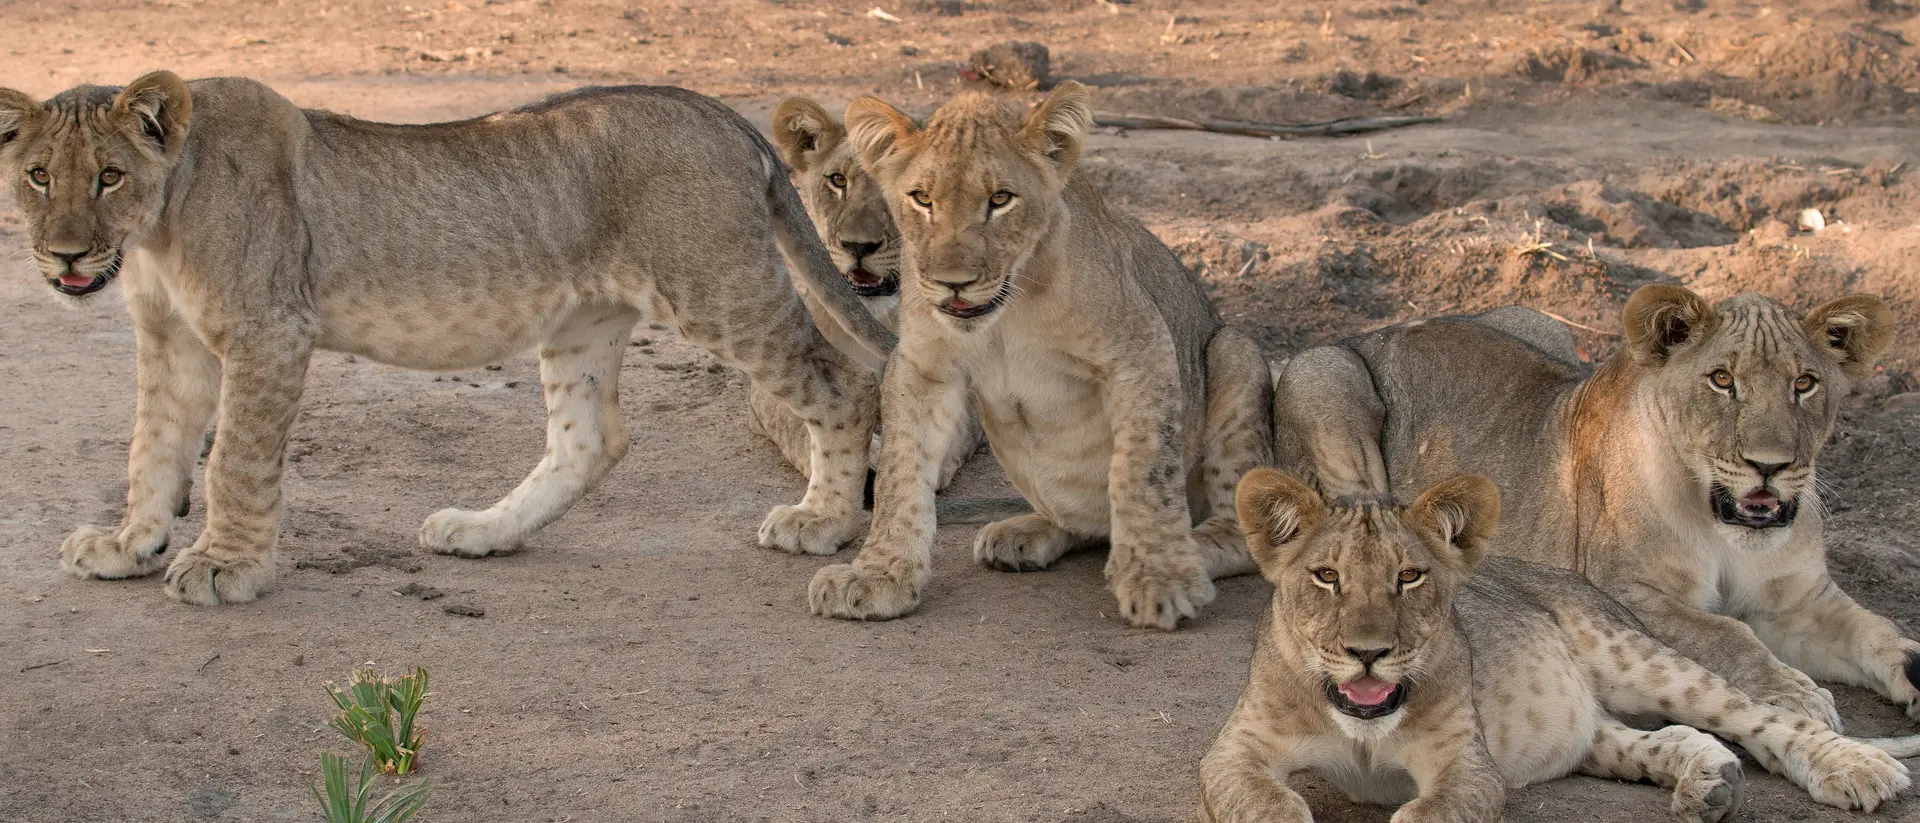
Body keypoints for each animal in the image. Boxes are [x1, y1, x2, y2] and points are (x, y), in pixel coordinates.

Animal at [0, 73, 896, 605]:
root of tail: (721, 115)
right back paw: (483, 531)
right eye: (39, 175)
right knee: (591, 441)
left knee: (842, 380)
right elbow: (150, 449)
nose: (66, 255)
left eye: (108, 176)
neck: (155, 227)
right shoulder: (170, 340)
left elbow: (232, 462)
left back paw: (823, 521)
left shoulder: (270, 331)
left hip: (719, 288)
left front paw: (227, 566)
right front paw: (128, 544)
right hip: (584, 321)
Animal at [804, 82, 1276, 629]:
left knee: (1241, 536)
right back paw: (1024, 534)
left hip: (1235, 352)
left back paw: (1189, 552)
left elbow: (1143, 467)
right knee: (1083, 524)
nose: (952, 283)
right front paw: (879, 576)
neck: (1007, 312)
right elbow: (899, 475)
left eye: (1000, 200)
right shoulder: (922, 367)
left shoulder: (1141, 347)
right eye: (922, 199)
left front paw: (1160, 579)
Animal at [1202, 468, 1915, 823]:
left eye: (1410, 577)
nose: (1368, 653)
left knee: (1765, 716)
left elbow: (1427, 814)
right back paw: (1709, 785)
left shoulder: (1468, 765)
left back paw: (1857, 768)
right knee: (1665, 736)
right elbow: (1263, 804)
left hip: (1636, 656)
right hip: (1585, 728)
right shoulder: (1234, 752)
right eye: (1326, 576)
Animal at [1273, 285, 1919, 729]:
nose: (1771, 465)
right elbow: (1727, 632)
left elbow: (1878, 631)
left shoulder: (1801, 599)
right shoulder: (1624, 591)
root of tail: (1372, 330)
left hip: (1536, 321)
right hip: (1322, 372)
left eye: (1805, 384)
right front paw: (1798, 695)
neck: (1725, 527)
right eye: (1721, 380)